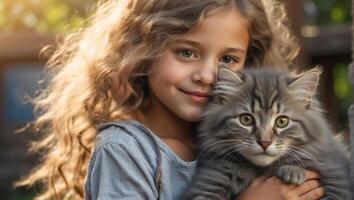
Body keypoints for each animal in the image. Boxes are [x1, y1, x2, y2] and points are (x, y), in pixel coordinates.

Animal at [183, 67, 352, 200]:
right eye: (246, 119)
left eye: (282, 121)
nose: (264, 142)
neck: (262, 169)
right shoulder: (210, 183)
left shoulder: (335, 177)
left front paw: (292, 171)